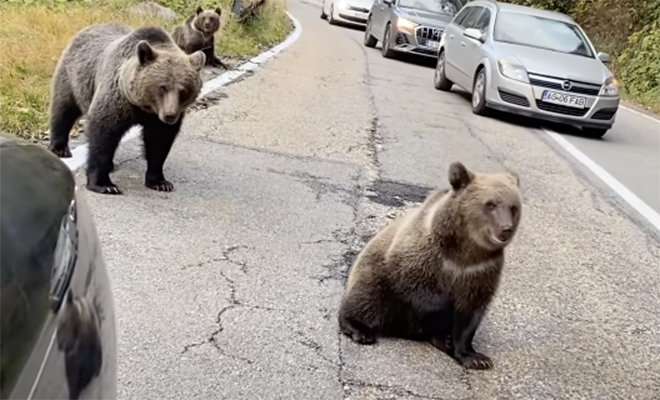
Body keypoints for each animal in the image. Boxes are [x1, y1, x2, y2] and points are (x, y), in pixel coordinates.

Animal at [46, 22, 205, 195]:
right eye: (162, 87)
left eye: (183, 91)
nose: (170, 115)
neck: (144, 106)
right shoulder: (118, 100)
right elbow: (103, 134)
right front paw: (105, 185)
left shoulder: (157, 119)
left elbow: (159, 142)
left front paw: (160, 182)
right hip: (74, 76)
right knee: (64, 108)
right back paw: (60, 148)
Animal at [340, 161, 520, 370]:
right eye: (490, 204)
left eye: (514, 207)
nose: (505, 228)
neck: (465, 254)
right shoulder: (424, 257)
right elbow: (417, 287)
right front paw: (446, 325)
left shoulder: (482, 271)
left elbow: (470, 313)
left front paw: (475, 357)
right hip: (375, 274)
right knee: (367, 298)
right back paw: (360, 330)